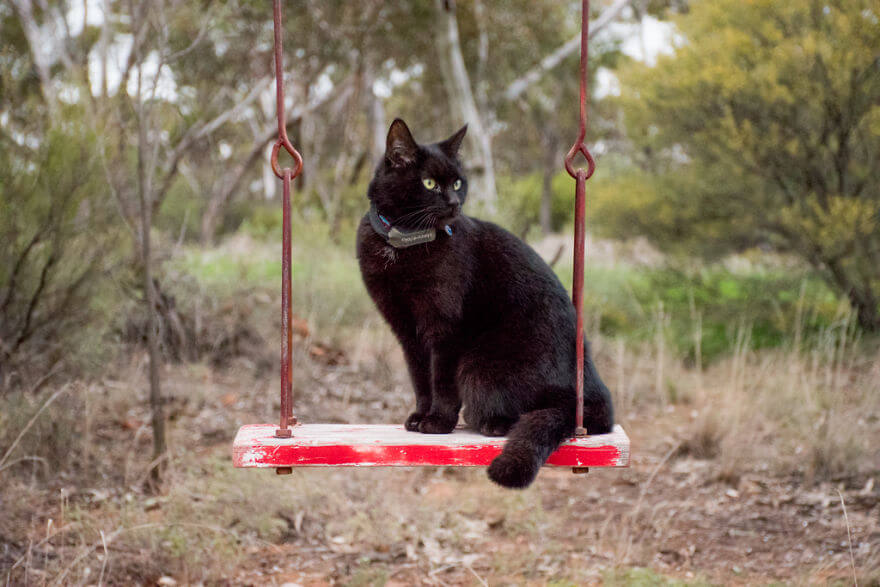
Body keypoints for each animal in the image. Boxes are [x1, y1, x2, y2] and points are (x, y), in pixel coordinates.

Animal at [356, 118, 612, 486]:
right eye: (429, 183)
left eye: (457, 182)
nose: (454, 203)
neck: (404, 243)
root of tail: (591, 391)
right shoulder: (407, 331)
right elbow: (420, 377)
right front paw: (420, 415)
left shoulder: (445, 329)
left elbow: (441, 380)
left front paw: (438, 422)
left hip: (480, 368)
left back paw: (492, 423)